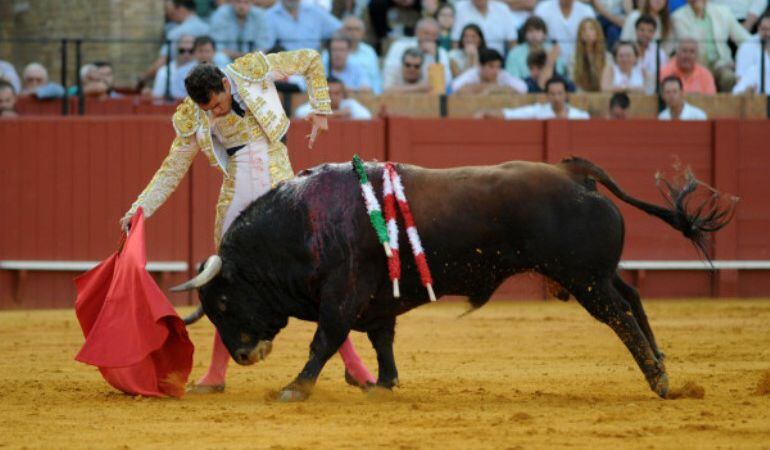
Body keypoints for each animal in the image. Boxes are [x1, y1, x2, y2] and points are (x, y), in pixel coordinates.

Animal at [172, 158, 732, 400]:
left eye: (224, 304)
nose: (244, 356)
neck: (303, 221)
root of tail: (575, 174)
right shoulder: (376, 299)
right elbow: (381, 340)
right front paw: (383, 384)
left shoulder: (343, 294)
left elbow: (324, 340)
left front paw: (295, 387)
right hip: (596, 274)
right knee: (632, 297)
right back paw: (662, 365)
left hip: (584, 281)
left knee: (618, 315)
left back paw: (659, 381)